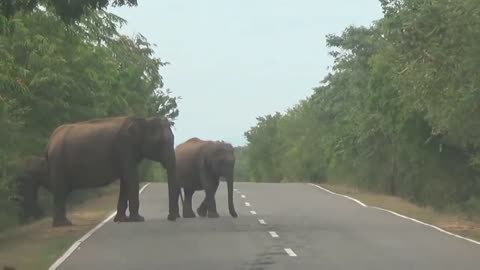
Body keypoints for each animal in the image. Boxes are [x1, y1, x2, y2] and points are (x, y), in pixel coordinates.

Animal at [18, 116, 180, 228]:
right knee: (59, 190)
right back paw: (63, 224)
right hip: (59, 163)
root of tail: (50, 142)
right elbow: (132, 178)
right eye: (161, 143)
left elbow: (126, 181)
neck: (143, 121)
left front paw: (122, 220)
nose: (171, 217)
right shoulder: (125, 148)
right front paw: (138, 219)